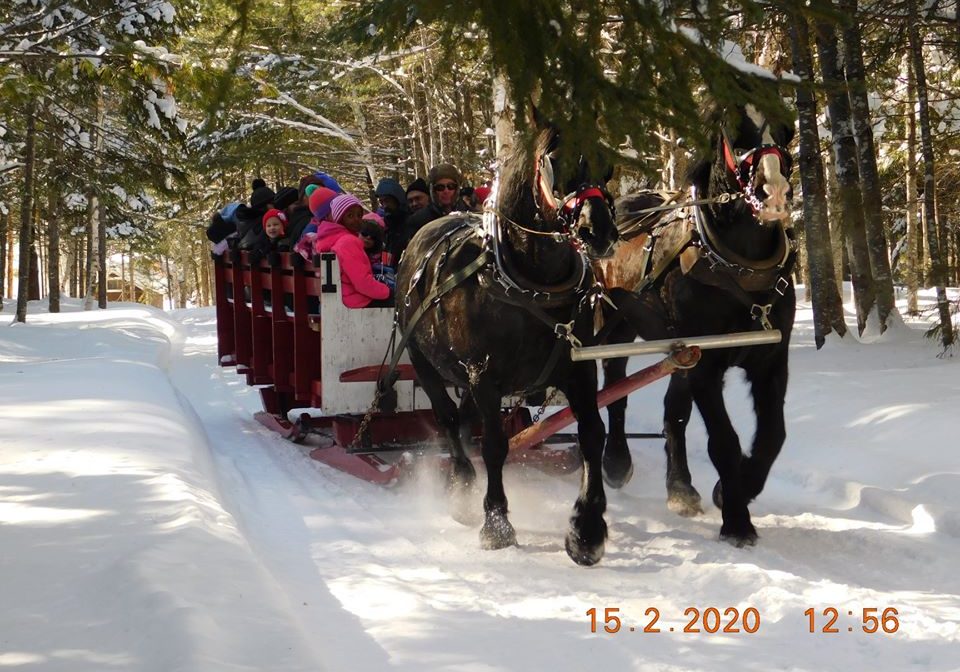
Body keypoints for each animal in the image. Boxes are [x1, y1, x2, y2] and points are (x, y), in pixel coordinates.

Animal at [394, 127, 620, 568]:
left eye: (607, 163)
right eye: (558, 163)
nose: (598, 232)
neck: (532, 280)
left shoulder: (578, 369)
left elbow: (592, 434)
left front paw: (586, 532)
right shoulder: (485, 376)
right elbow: (495, 445)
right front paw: (496, 525)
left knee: (465, 420)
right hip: (424, 362)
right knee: (449, 420)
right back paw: (462, 487)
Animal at [600, 105, 796, 544]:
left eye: (787, 128)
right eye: (735, 132)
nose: (774, 191)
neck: (738, 268)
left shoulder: (771, 360)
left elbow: (773, 436)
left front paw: (734, 487)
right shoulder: (706, 364)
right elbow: (724, 441)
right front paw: (737, 522)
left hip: (679, 351)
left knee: (673, 410)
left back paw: (680, 489)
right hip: (615, 326)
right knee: (614, 386)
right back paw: (616, 461)